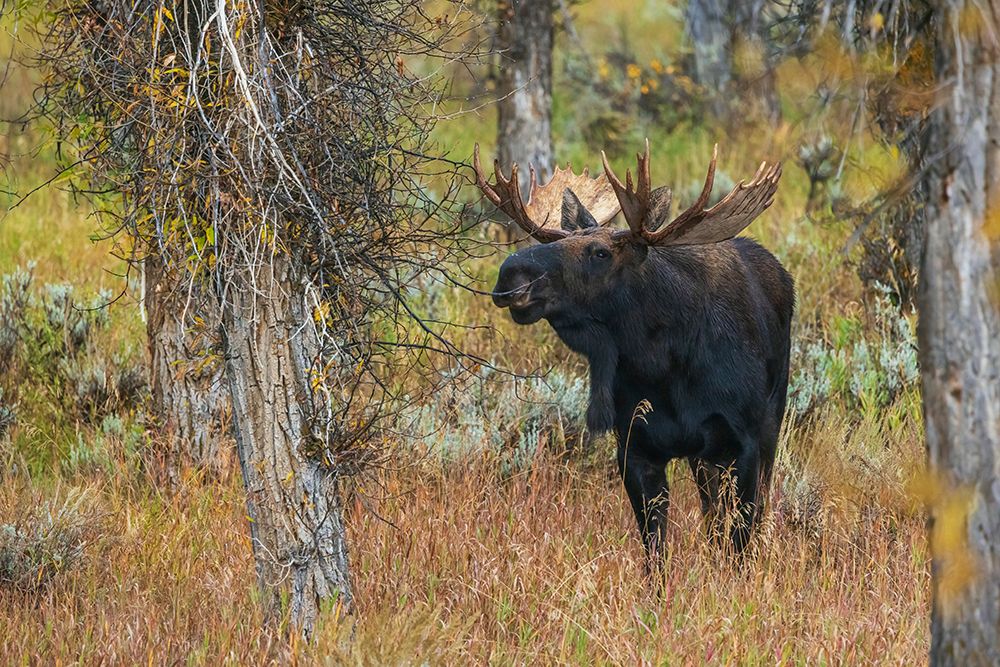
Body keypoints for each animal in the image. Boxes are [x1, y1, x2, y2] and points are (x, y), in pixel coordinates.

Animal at [474, 141, 794, 556]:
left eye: (600, 253)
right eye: (556, 241)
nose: (510, 275)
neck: (664, 370)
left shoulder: (745, 442)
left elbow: (740, 539)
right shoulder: (635, 448)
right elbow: (656, 549)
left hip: (770, 419)